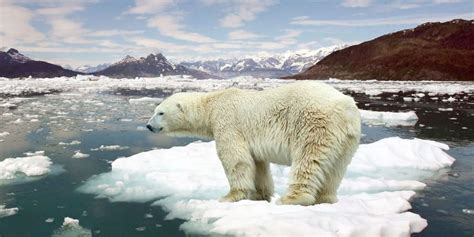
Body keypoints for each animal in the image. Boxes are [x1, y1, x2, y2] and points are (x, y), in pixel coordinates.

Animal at [146, 81, 362, 206]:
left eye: (160, 112)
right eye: (155, 110)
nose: (148, 126)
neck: (212, 105)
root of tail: (346, 107)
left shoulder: (228, 123)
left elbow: (235, 159)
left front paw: (230, 196)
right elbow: (257, 164)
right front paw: (260, 195)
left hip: (314, 124)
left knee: (308, 160)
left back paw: (292, 198)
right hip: (347, 139)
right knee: (336, 168)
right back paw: (326, 198)